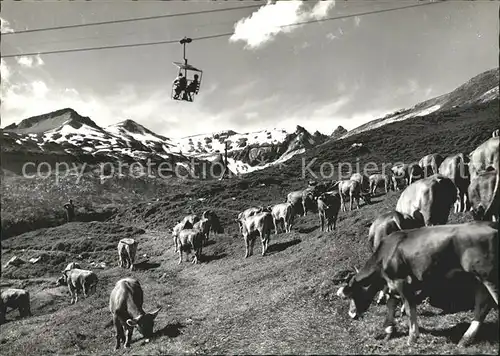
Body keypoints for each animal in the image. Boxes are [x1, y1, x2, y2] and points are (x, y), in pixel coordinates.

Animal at [338, 222, 498, 348]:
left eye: (352, 294)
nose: (351, 315)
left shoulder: (402, 282)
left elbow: (409, 310)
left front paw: (412, 337)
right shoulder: (393, 284)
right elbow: (391, 304)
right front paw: (389, 329)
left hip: (489, 277)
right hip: (478, 280)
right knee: (482, 306)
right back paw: (465, 339)